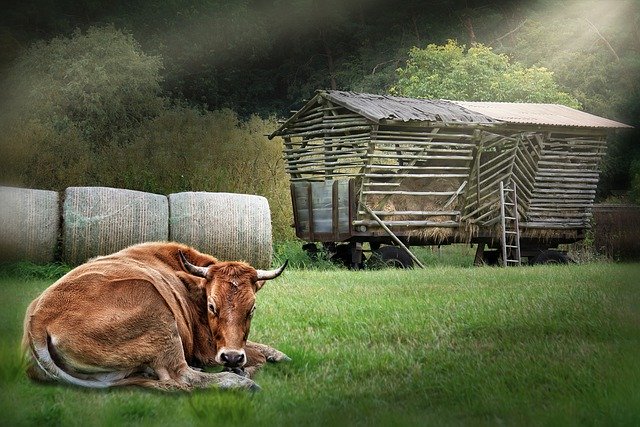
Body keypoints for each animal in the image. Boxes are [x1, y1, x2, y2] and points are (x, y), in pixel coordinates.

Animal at [21, 242, 288, 392]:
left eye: (252, 308)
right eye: (212, 306)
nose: (232, 357)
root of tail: (38, 318)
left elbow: (257, 347)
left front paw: (278, 355)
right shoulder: (207, 348)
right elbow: (256, 356)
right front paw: (246, 368)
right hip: (158, 312)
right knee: (184, 376)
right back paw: (241, 381)